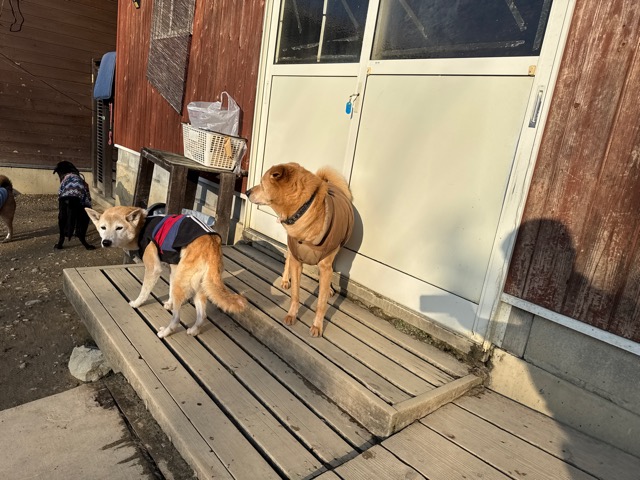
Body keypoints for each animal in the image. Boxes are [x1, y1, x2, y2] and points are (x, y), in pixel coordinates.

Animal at [85, 206, 248, 338]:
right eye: (103, 227)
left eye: (119, 228)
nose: (106, 242)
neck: (142, 226)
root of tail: (212, 244)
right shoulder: (173, 268)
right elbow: (169, 290)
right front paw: (169, 303)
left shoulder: (153, 268)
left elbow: (144, 291)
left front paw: (137, 303)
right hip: (198, 286)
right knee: (202, 316)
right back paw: (194, 330)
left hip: (183, 284)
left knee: (176, 319)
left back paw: (165, 332)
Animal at [246, 163, 354, 337]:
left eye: (262, 183)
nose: (247, 191)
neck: (304, 211)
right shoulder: (296, 259)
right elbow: (295, 294)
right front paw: (292, 315)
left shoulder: (326, 265)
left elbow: (321, 303)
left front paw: (317, 325)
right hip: (291, 248)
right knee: (287, 260)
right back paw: (284, 280)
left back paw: (329, 288)